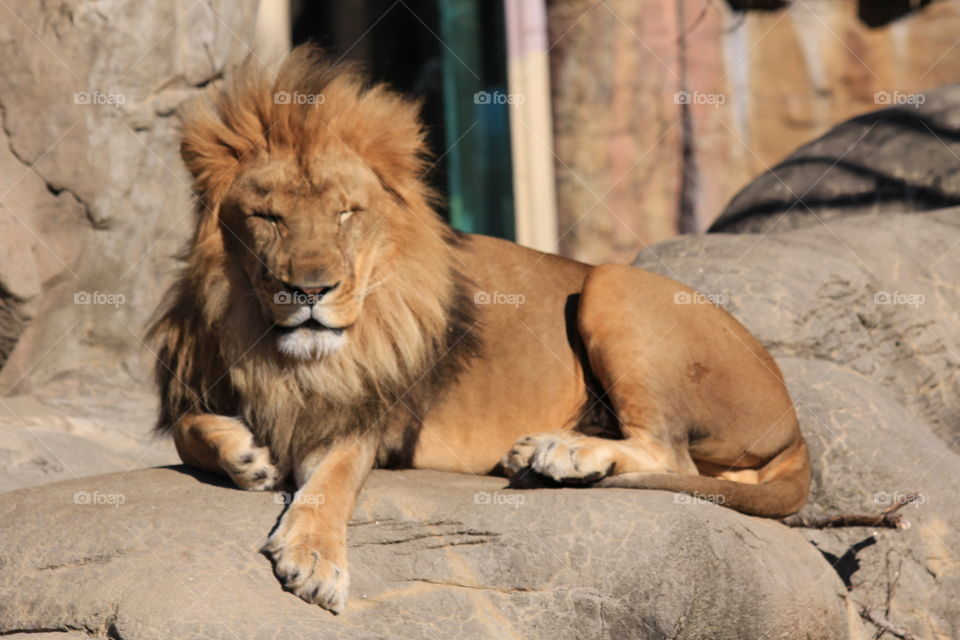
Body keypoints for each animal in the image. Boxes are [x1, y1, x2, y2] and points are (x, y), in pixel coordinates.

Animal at [150, 45, 811, 614]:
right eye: (267, 216)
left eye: (346, 213)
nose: (310, 291)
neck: (279, 349)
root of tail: (795, 422)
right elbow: (187, 429)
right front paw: (244, 457)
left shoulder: (364, 419)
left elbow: (332, 482)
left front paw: (314, 559)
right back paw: (534, 451)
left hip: (611, 282)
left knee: (672, 456)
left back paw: (564, 453)